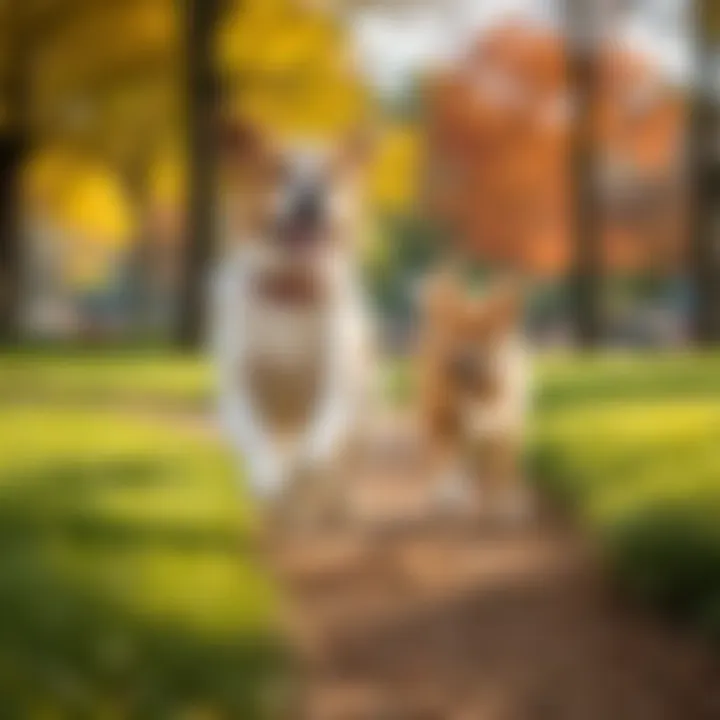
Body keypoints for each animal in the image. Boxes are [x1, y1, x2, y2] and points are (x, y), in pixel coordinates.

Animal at [420, 272, 532, 520]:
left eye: (487, 333)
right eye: (456, 330)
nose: (467, 358)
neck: (474, 388)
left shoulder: (505, 430)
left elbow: (500, 471)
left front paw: (501, 503)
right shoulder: (446, 423)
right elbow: (449, 463)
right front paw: (452, 496)